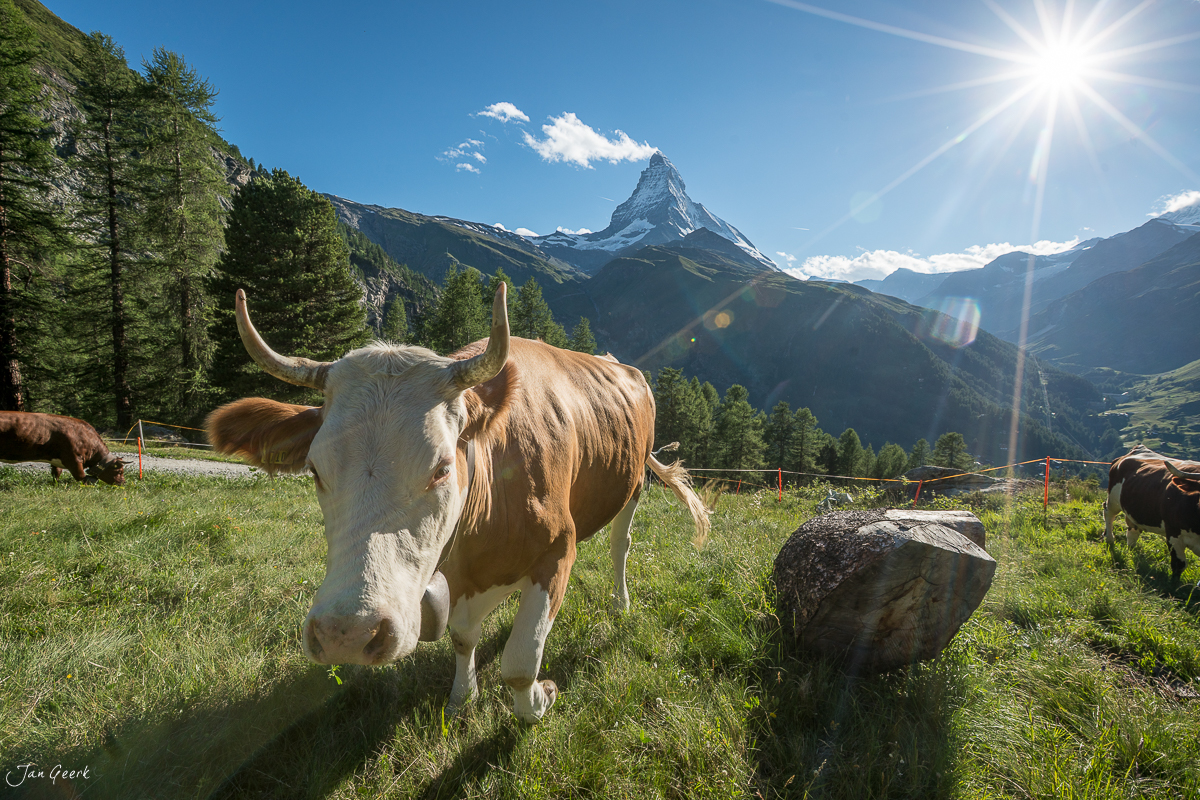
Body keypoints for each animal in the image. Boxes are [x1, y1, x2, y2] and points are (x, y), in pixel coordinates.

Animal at [206, 285, 709, 722]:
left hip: (634, 482)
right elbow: (464, 637)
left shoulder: (558, 550)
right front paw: (463, 695)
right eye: (314, 469)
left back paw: (620, 603)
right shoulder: (459, 574)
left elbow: (521, 661)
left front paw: (540, 698)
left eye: (442, 468)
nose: (346, 634)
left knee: (620, 545)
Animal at [1103, 444, 1200, 584]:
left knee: (1133, 529)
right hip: (1113, 499)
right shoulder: (1173, 533)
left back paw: (1131, 548)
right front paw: (1173, 585)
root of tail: (1138, 448)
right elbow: (1179, 564)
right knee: (1108, 513)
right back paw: (1109, 539)